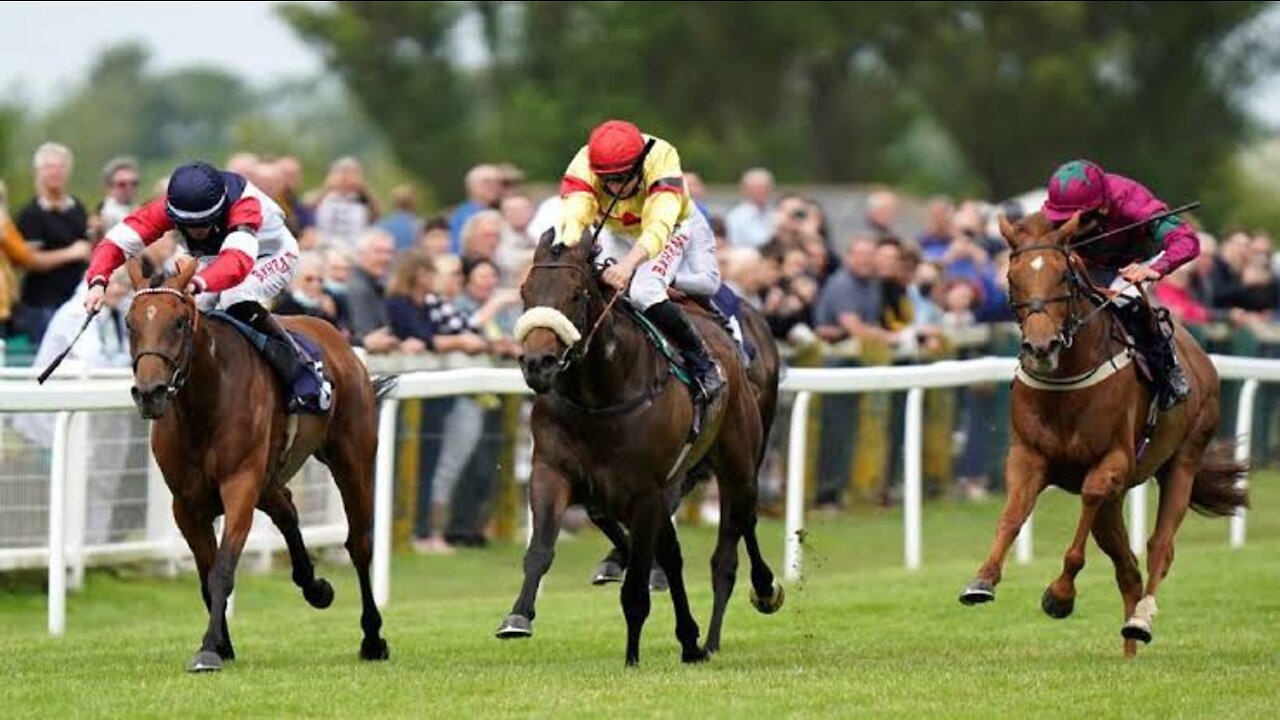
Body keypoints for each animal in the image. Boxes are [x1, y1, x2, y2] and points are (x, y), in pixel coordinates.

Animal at [127, 254, 394, 671]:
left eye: (179, 322)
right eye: (130, 323)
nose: (150, 393)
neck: (203, 404)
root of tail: (337, 338)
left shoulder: (240, 485)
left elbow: (222, 570)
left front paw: (208, 649)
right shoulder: (186, 504)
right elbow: (205, 576)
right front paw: (221, 643)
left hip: (351, 461)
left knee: (359, 544)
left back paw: (372, 638)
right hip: (269, 478)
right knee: (287, 509)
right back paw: (315, 587)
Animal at [496, 234, 778, 661]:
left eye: (575, 294)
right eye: (525, 292)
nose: (537, 363)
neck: (600, 395)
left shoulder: (646, 490)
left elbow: (638, 585)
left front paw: (632, 655)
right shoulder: (553, 471)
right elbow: (542, 548)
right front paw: (517, 617)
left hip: (739, 460)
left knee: (738, 528)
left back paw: (756, 596)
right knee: (678, 552)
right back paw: (693, 640)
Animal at [962, 210, 1244, 653]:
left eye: (1063, 276)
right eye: (1011, 277)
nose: (1040, 347)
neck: (1066, 379)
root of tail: (1199, 353)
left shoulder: (1113, 460)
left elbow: (1089, 504)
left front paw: (1060, 595)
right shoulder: (1028, 455)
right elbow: (1012, 516)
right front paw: (982, 580)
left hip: (1184, 457)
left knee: (1159, 548)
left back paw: (1141, 620)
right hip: (1119, 496)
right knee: (1127, 567)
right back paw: (1129, 647)